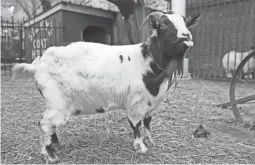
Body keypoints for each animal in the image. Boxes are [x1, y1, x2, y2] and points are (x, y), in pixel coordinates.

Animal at [12, 10, 201, 163]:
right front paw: (140, 147)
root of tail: (38, 64)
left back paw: (57, 146)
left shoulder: (150, 105)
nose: (187, 35)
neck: (148, 61)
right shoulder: (134, 104)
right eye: (162, 25)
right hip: (57, 103)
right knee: (44, 124)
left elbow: (147, 124)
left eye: (185, 23)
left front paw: (149, 142)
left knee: (50, 126)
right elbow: (136, 126)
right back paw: (50, 156)